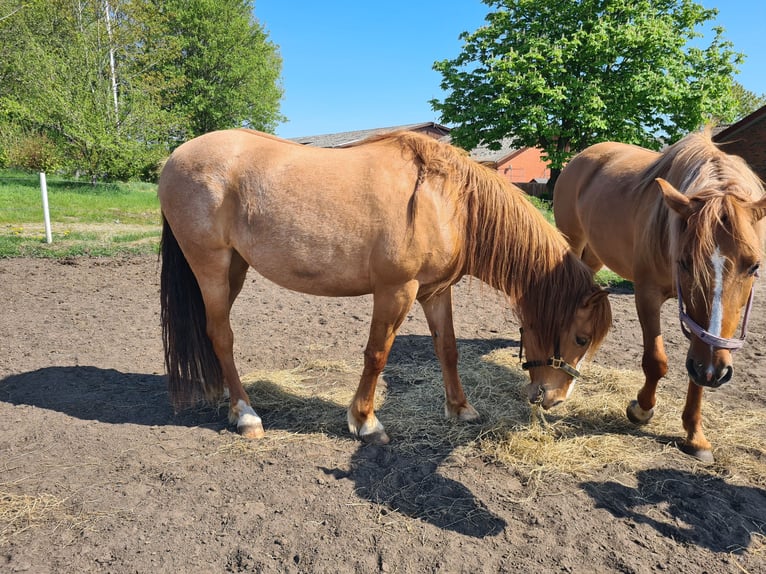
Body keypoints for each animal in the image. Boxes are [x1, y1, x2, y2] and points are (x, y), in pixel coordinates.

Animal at [158, 129, 612, 444]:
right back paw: (247, 415)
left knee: (212, 332)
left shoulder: (434, 292)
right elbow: (377, 354)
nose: (554, 399)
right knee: (222, 334)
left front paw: (461, 409)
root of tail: (176, 157)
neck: (447, 201)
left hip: (234, 268)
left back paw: (228, 399)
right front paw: (365, 422)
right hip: (211, 264)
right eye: (580, 337)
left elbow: (448, 349)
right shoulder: (396, 290)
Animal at [553, 128, 766, 461]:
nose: (715, 372)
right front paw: (641, 410)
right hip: (572, 240)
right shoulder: (647, 294)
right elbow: (656, 361)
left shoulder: (702, 334)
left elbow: (696, 373)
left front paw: (695, 435)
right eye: (685, 261)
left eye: (754, 265)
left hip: (596, 252)